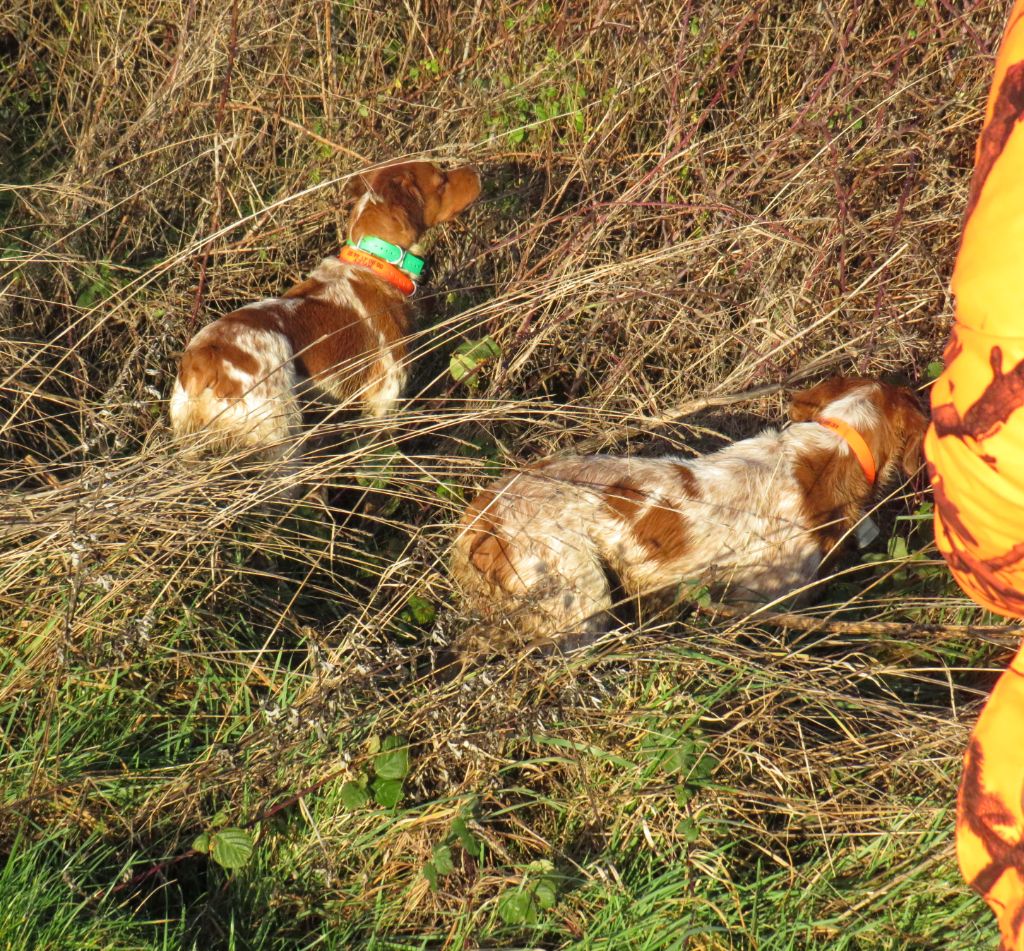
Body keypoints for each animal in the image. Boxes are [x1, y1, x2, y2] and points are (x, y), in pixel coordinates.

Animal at [169, 158, 481, 460]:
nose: (476, 170)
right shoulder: (384, 401)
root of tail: (200, 361)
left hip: (191, 447)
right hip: (281, 437)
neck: (375, 264)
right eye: (441, 180)